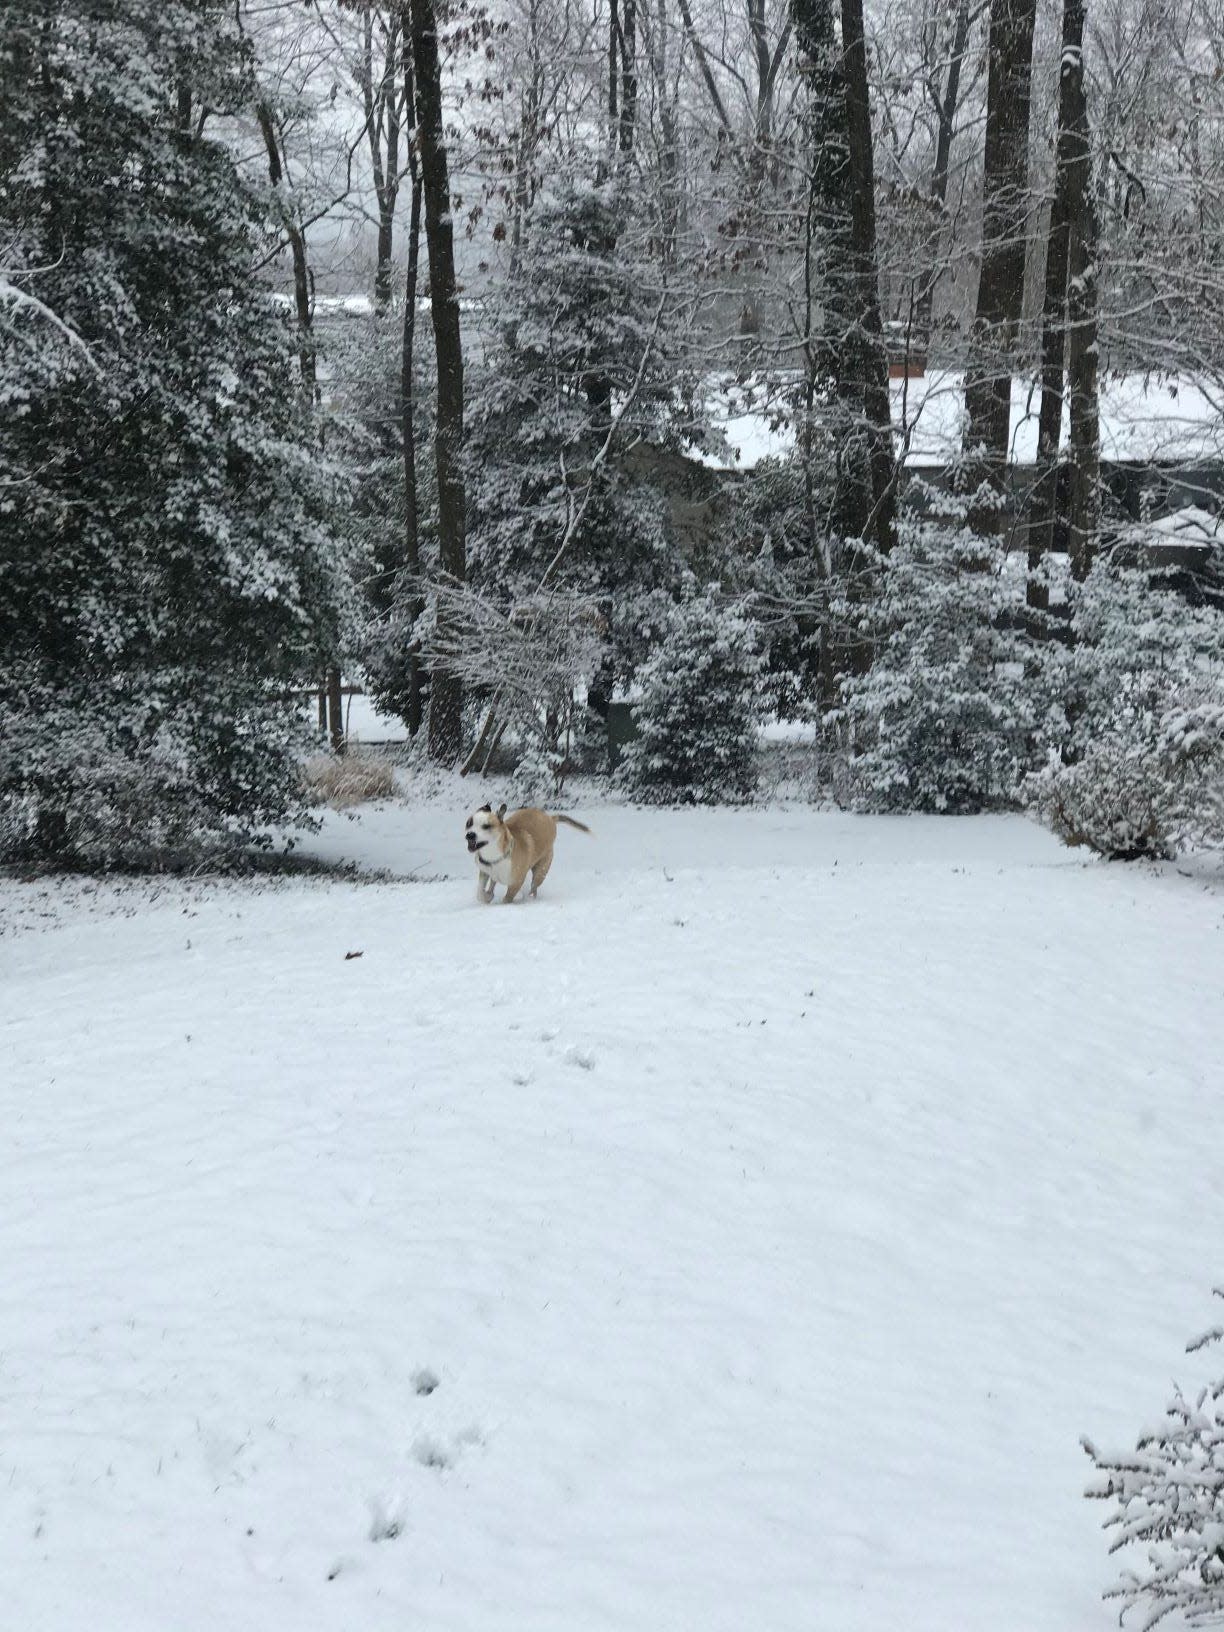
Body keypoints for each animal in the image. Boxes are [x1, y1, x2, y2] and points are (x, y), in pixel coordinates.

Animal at [463, 802, 594, 907]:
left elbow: (507, 898)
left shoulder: (516, 882)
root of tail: (550, 818)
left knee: (534, 888)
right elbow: (480, 892)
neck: (495, 857)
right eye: (469, 823)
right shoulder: (484, 871)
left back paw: (530, 899)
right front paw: (487, 897)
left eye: (486, 826)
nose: (470, 835)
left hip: (541, 871)